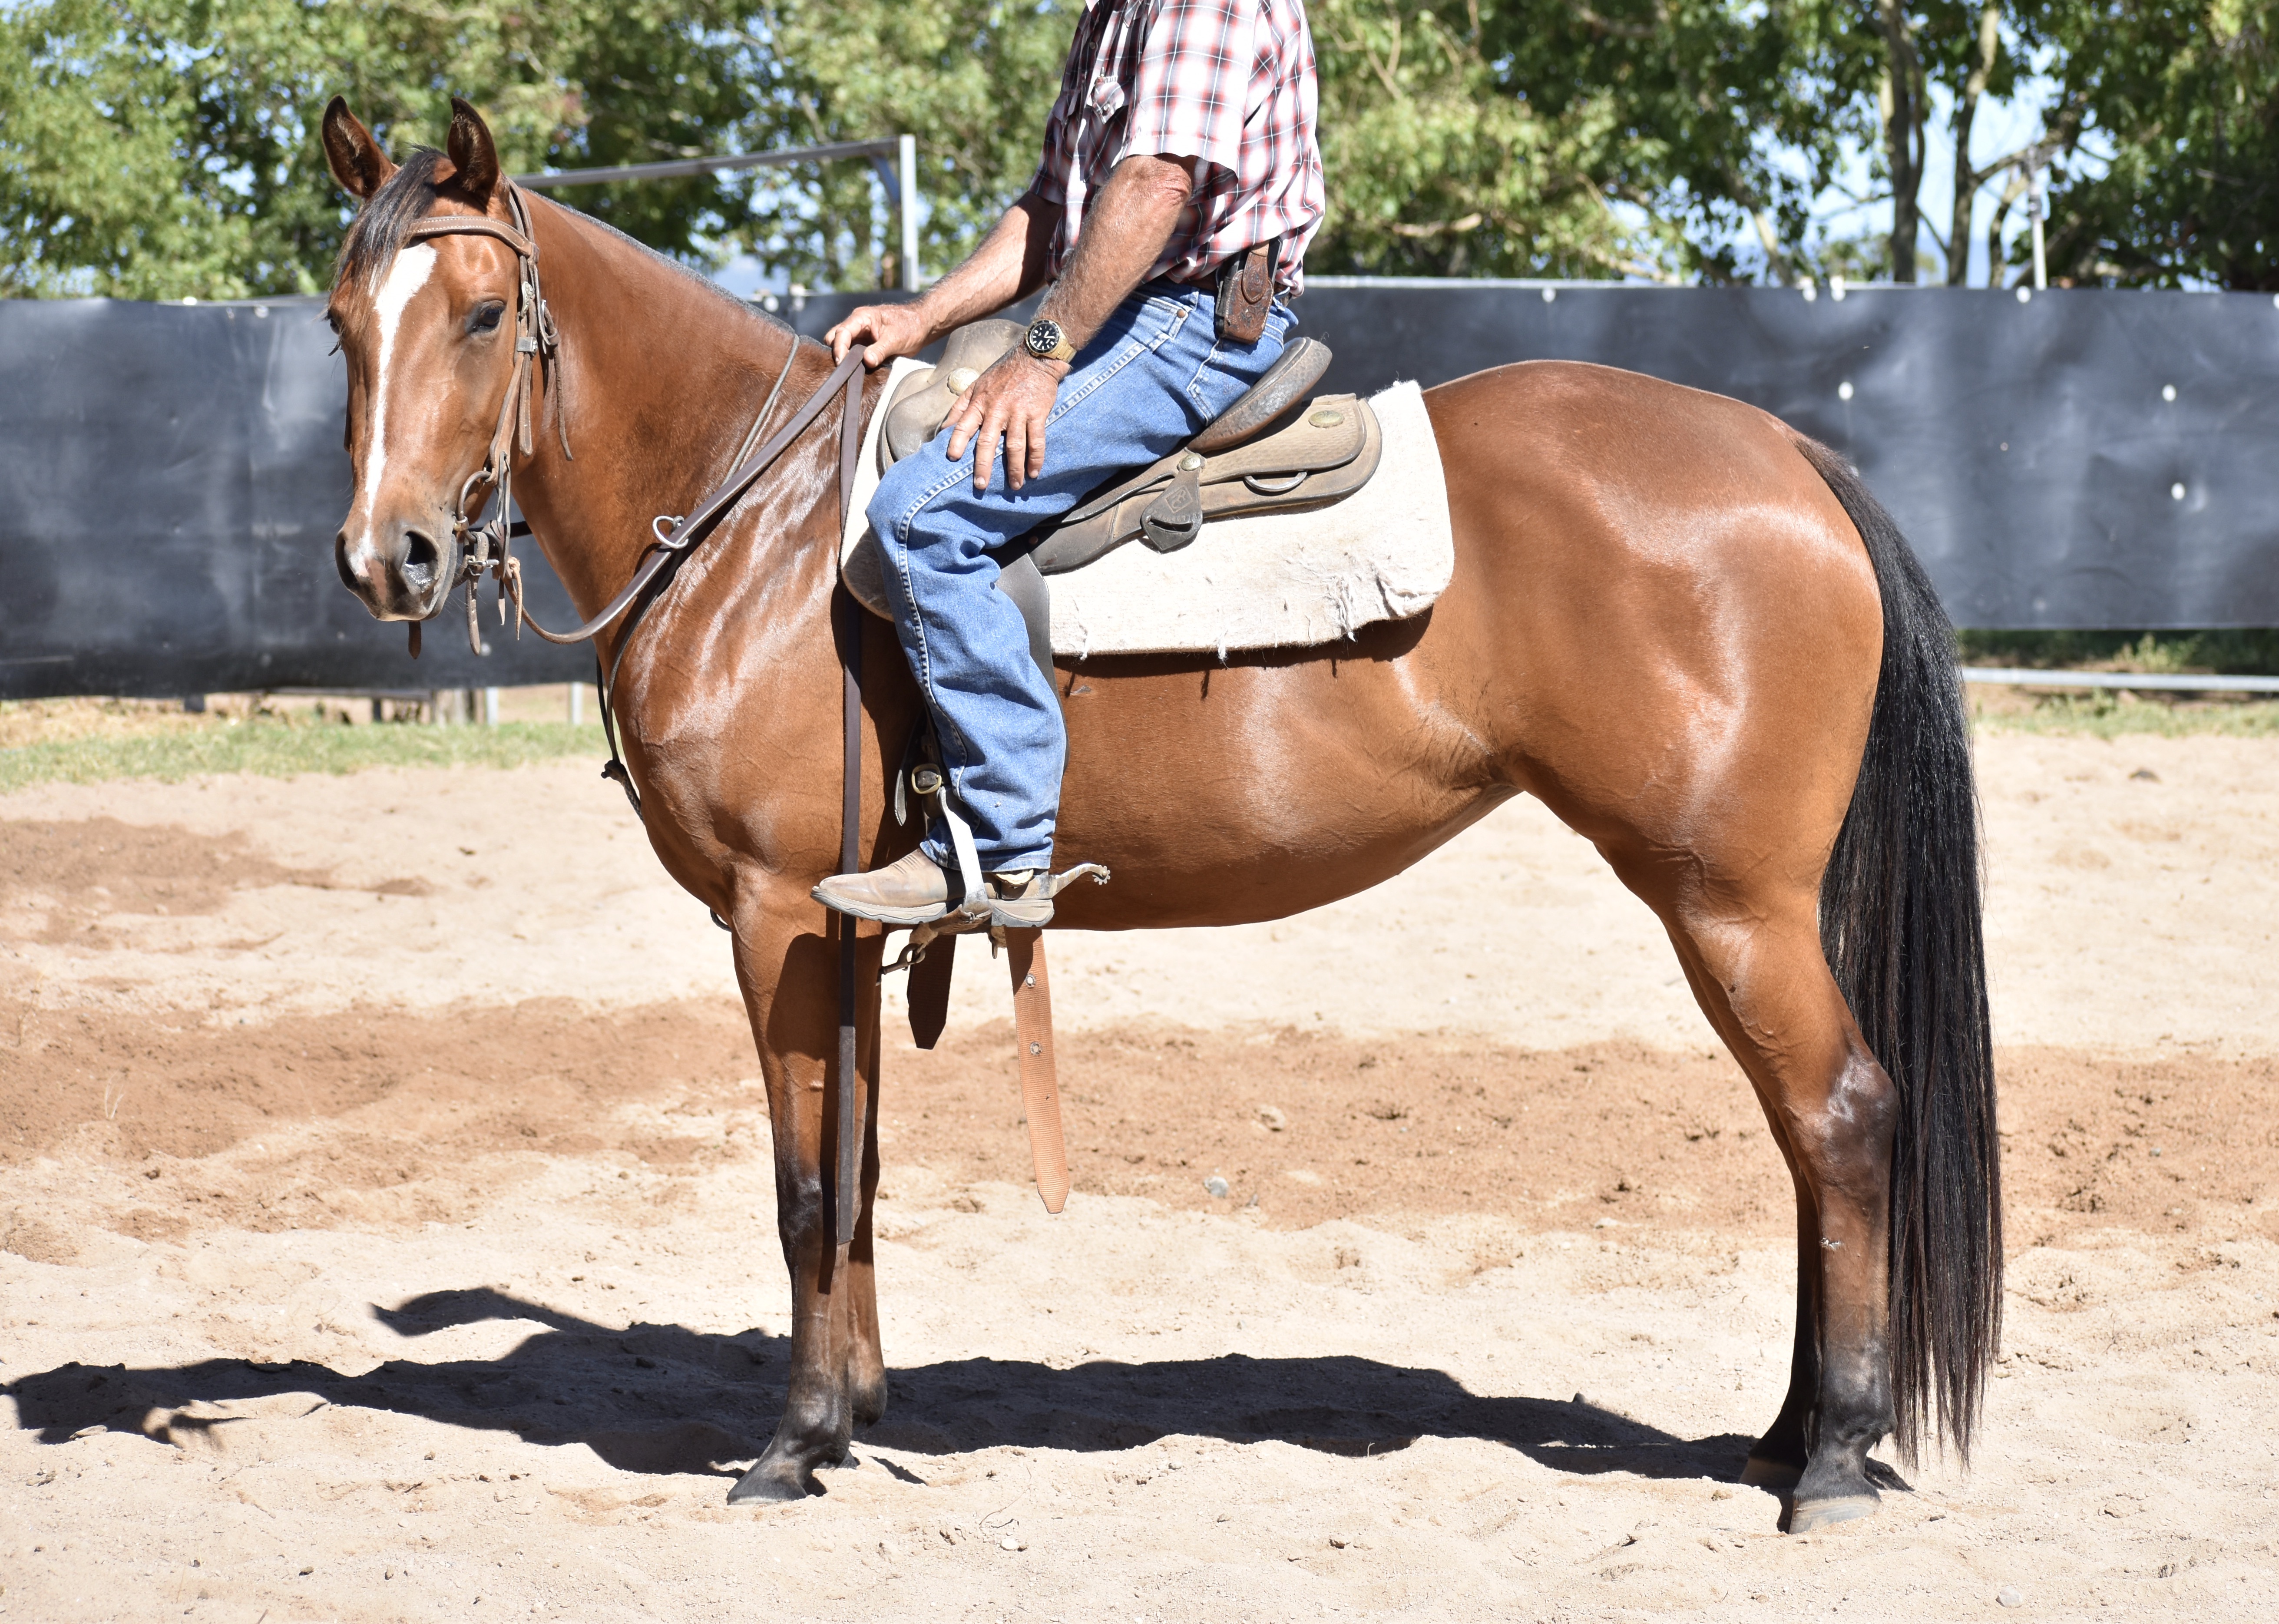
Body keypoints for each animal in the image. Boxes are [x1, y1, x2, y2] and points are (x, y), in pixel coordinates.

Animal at [317, 96, 1999, 1530]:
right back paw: (1785, 1433)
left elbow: (801, 1188)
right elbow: (857, 1170)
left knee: (1842, 1114)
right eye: (342, 323)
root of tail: (1789, 456)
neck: (763, 532)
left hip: (1728, 896)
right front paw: (854, 1406)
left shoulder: (774, 911)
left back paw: (1833, 1457)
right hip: (1743, 905)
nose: (389, 558)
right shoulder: (846, 929)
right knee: (1803, 1132)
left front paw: (791, 1444)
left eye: (482, 314)